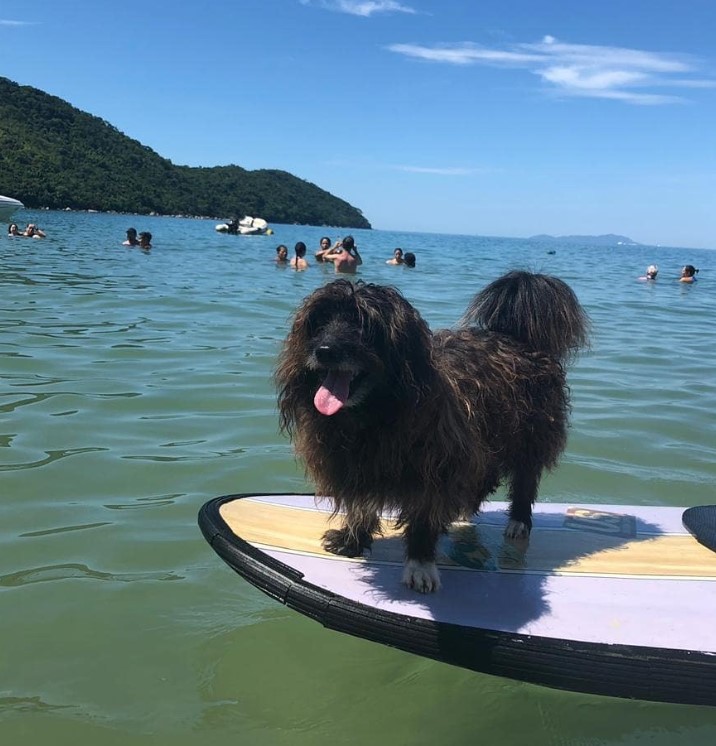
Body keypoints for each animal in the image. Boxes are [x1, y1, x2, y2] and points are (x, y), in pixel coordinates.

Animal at [274, 270, 588, 588]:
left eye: (364, 324)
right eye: (320, 321)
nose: (324, 351)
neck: (372, 413)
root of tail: (517, 336)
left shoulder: (437, 464)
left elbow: (425, 515)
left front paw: (420, 562)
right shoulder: (357, 462)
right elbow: (361, 504)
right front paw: (353, 538)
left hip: (529, 433)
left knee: (525, 477)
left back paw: (518, 521)